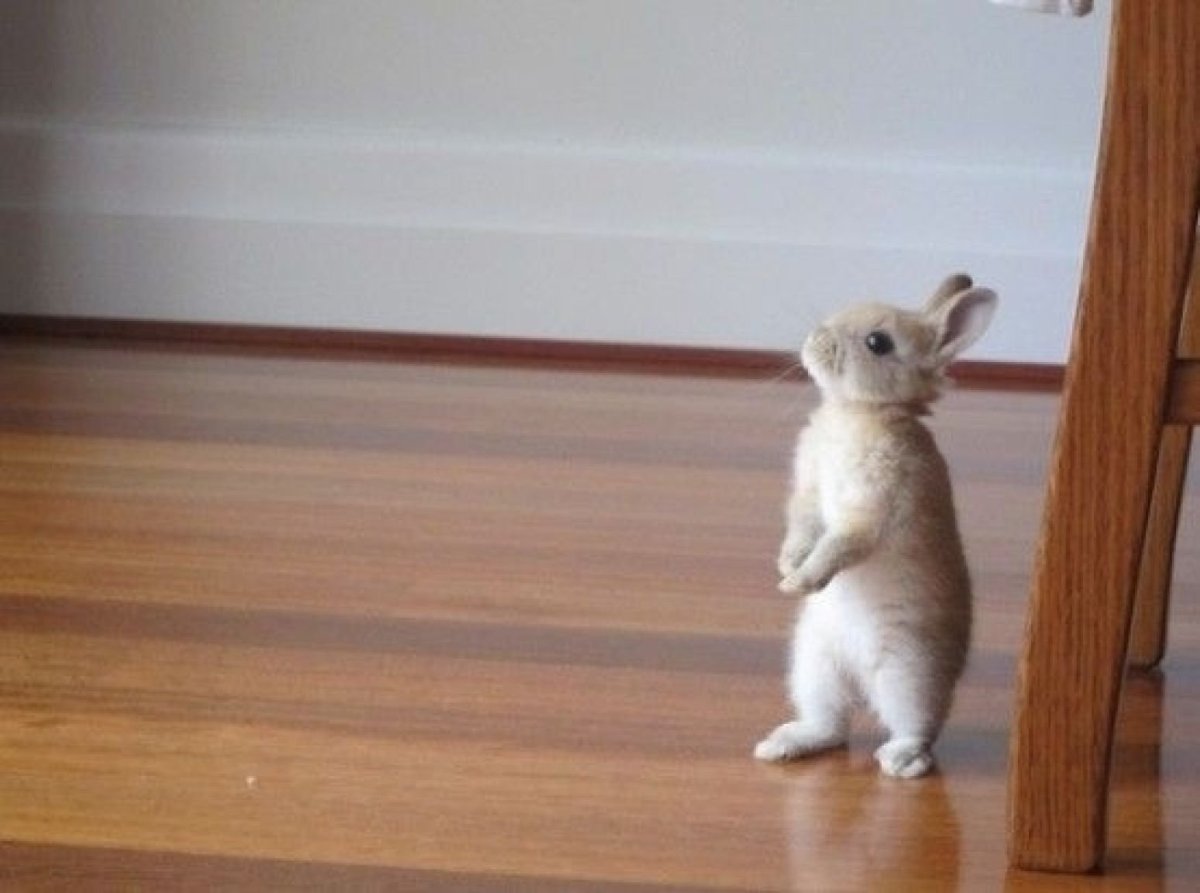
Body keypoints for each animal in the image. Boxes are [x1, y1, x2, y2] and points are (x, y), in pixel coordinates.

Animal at [754, 274, 997, 779]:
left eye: (877, 343)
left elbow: (840, 545)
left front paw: (799, 583)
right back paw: (782, 744)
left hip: (909, 674)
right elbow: (802, 527)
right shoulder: (808, 494)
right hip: (813, 667)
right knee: (831, 726)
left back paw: (902, 762)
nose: (815, 338)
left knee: (919, 727)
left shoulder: (869, 512)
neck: (858, 412)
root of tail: (859, 676)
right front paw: (787, 567)